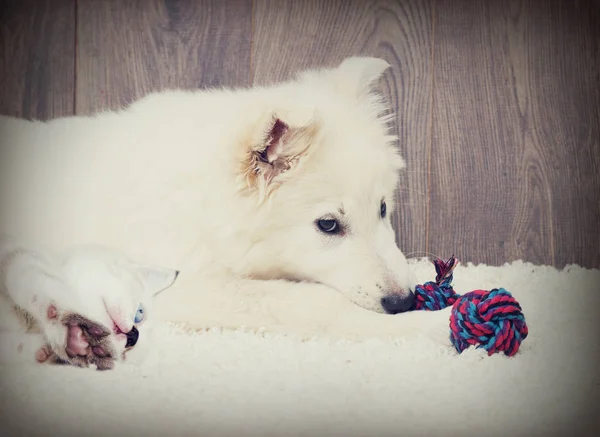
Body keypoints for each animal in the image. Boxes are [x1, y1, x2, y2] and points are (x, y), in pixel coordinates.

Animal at [0, 57, 450, 350]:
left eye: (382, 209)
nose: (403, 301)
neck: (204, 204)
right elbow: (315, 304)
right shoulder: (186, 286)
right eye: (328, 225)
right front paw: (434, 326)